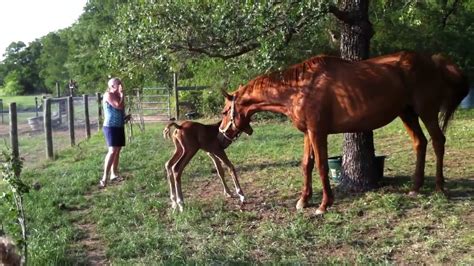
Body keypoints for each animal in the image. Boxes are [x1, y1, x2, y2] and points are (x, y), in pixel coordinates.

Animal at [219, 51, 470, 214]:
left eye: (224, 111)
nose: (222, 132)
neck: (301, 87)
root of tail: (433, 62)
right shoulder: (308, 133)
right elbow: (306, 165)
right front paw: (303, 201)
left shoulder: (318, 132)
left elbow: (321, 166)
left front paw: (324, 204)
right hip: (407, 114)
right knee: (420, 143)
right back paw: (415, 188)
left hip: (426, 111)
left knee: (438, 141)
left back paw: (439, 188)